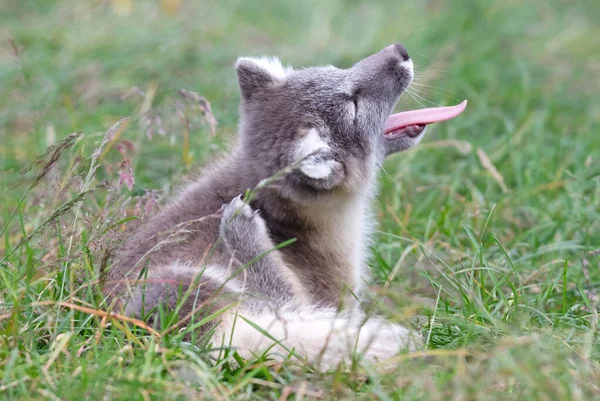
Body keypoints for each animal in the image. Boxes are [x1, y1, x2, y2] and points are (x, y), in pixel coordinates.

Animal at [105, 43, 466, 368]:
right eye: (353, 104)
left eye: (338, 69)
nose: (400, 50)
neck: (281, 214)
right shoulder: (336, 295)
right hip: (202, 283)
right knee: (284, 307)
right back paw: (241, 232)